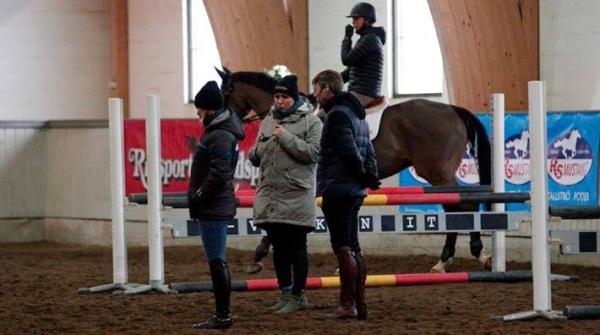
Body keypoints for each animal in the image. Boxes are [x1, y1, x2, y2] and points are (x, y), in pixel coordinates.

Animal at [216, 66, 492, 272]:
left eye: (226, 90)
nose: (220, 120)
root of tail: (451, 109)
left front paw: (258, 255)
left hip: (437, 173)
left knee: (461, 205)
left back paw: (453, 257)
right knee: (465, 203)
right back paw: (467, 255)